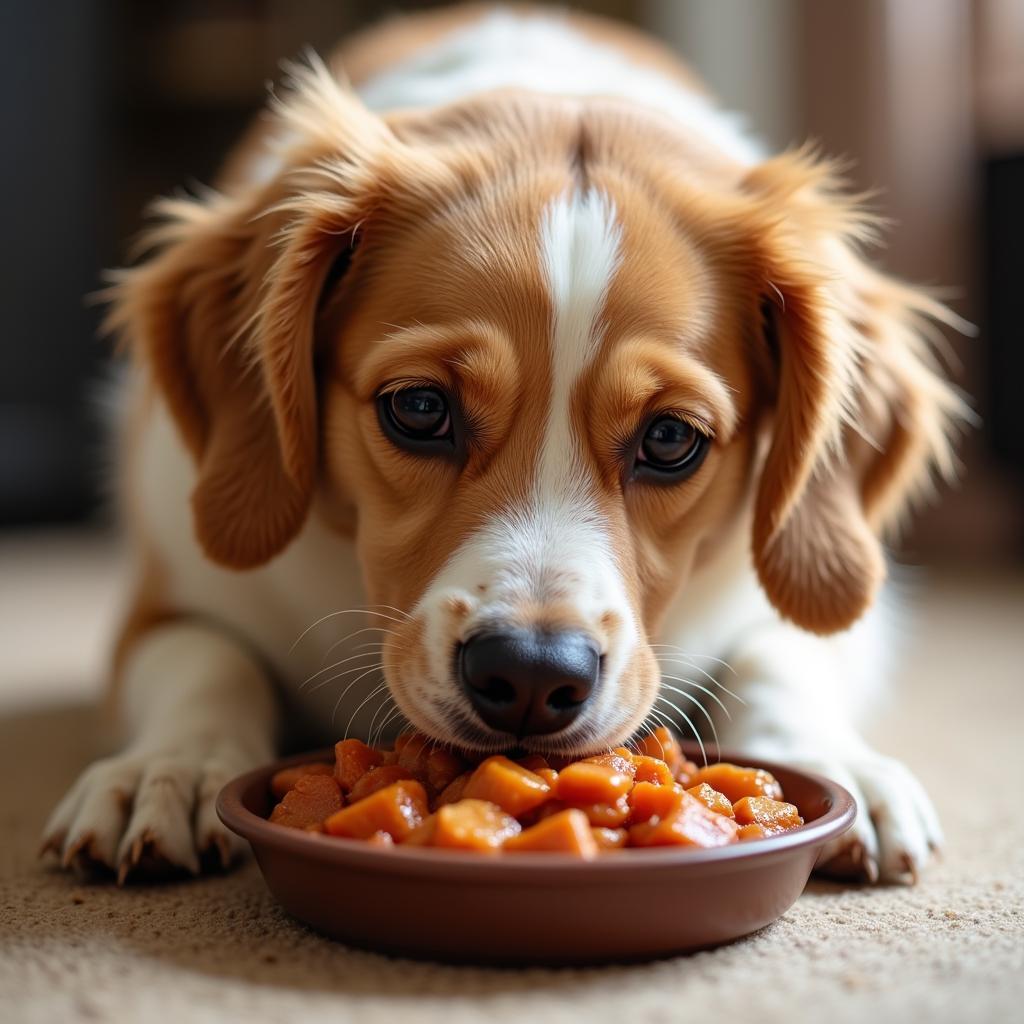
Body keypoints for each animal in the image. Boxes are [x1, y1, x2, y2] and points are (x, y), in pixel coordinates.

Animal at [41, 4, 966, 880]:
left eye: (671, 438)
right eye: (419, 408)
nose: (530, 674)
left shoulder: (829, 606)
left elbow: (781, 662)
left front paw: (836, 763)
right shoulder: (168, 595)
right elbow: (205, 661)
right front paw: (170, 766)